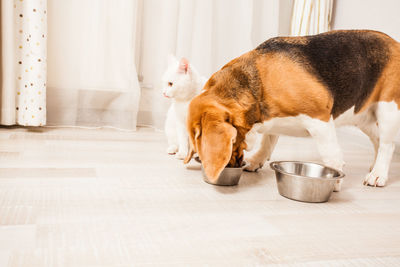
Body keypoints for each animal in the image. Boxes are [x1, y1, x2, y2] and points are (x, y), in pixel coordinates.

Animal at [184, 30, 400, 191]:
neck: (259, 82)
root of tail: (395, 42)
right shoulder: (272, 121)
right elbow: (267, 142)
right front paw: (256, 161)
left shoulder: (320, 120)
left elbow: (331, 155)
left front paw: (335, 181)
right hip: (362, 117)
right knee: (378, 140)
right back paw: (374, 166)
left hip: (388, 109)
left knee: (388, 144)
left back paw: (378, 174)